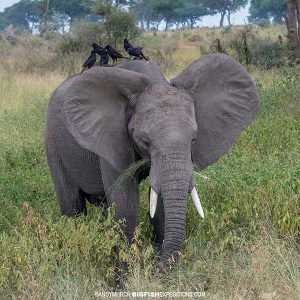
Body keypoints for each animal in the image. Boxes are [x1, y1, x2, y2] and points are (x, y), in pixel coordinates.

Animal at [44, 54, 260, 264]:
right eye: (145, 141)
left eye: (193, 139)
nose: (165, 264)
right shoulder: (111, 139)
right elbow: (125, 202)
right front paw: (125, 272)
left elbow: (159, 200)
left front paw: (157, 263)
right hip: (52, 141)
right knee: (72, 205)